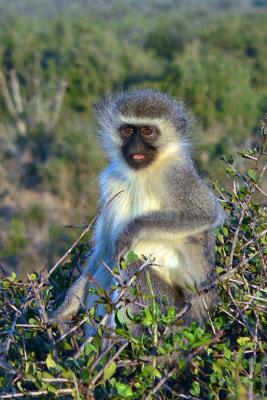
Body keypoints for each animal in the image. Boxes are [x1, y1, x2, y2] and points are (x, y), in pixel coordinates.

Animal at [50, 88, 226, 334]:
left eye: (147, 131)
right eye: (128, 130)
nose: (134, 147)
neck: (141, 174)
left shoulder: (176, 175)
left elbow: (205, 213)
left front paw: (131, 230)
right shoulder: (109, 182)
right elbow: (105, 249)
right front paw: (66, 308)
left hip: (176, 310)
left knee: (132, 265)